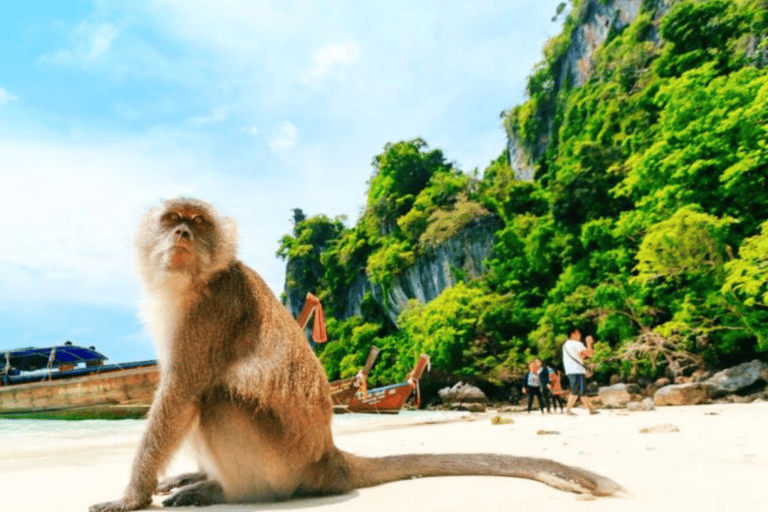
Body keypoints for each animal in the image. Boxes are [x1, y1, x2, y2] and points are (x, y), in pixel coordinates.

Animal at [90, 197, 628, 512]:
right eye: (172, 220)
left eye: (197, 224)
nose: (182, 234)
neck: (195, 281)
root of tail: (328, 459)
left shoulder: (209, 311)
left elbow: (180, 393)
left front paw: (130, 497)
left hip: (280, 464)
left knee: (215, 398)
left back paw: (225, 491)